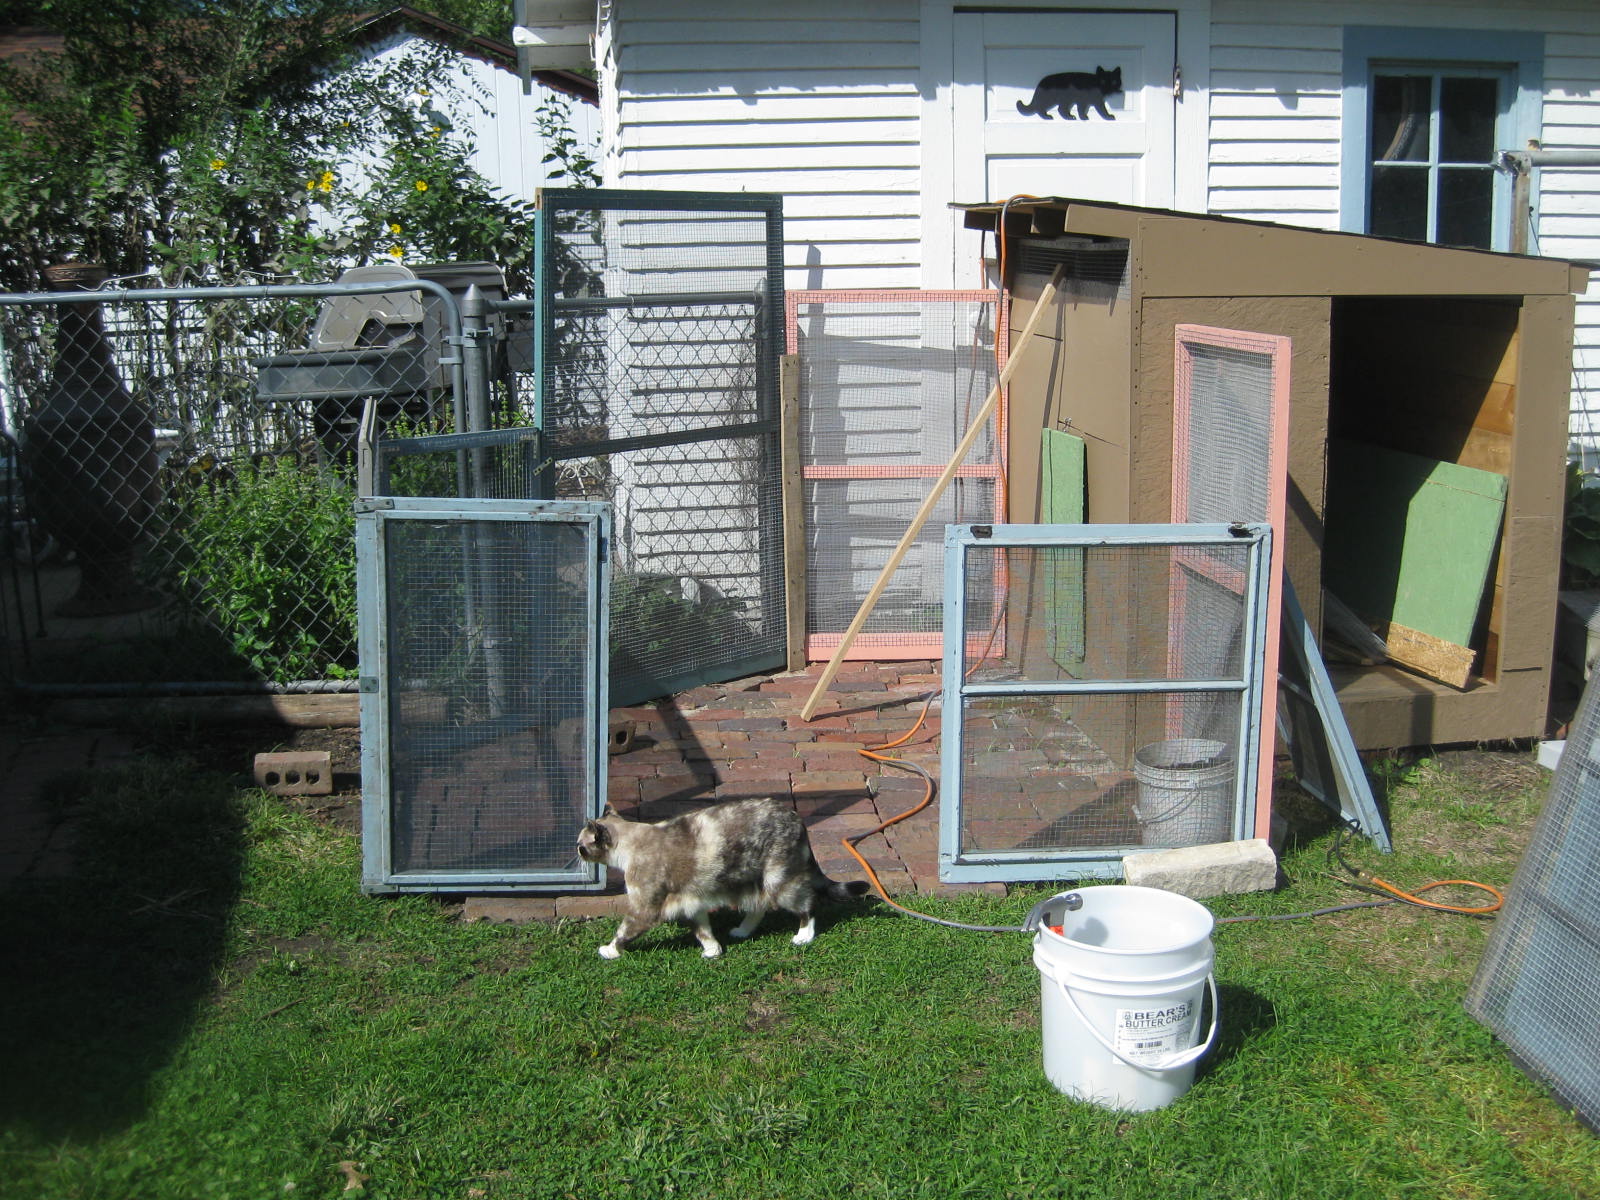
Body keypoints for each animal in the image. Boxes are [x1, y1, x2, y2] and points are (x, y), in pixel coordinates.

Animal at [576, 799, 870, 959]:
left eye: (580, 845)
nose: (574, 851)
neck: (632, 843)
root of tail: (797, 817)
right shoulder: (691, 902)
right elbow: (703, 931)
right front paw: (713, 951)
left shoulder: (645, 908)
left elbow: (624, 932)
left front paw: (609, 951)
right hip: (751, 881)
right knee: (760, 906)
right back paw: (741, 931)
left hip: (779, 882)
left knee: (807, 905)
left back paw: (803, 936)